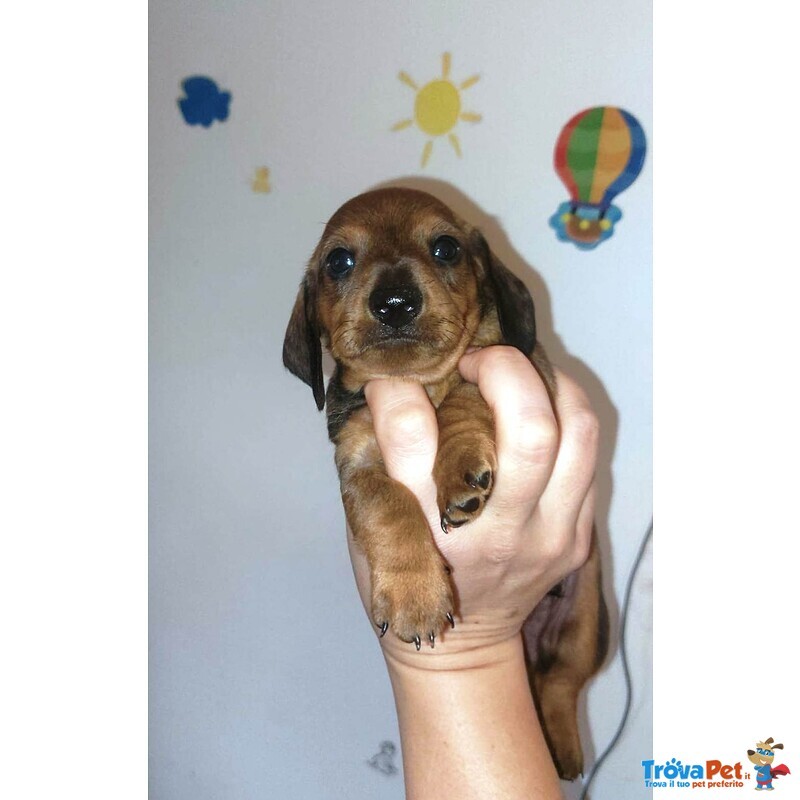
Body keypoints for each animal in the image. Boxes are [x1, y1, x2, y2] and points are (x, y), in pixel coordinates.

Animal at [284, 186, 608, 776]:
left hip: (587, 619)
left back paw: (566, 751)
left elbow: (466, 390)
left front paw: (458, 466)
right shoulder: (355, 458)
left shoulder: (521, 366)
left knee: (562, 687)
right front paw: (414, 593)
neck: (418, 383)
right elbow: (385, 501)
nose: (394, 302)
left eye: (446, 248)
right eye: (338, 261)